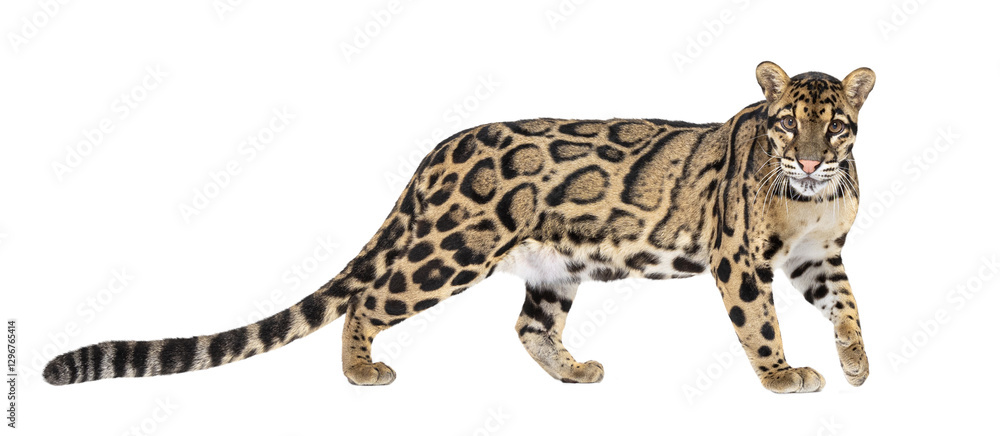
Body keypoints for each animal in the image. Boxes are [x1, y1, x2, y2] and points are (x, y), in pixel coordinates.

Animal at [44, 61, 876, 393]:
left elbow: (849, 307)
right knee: (366, 299)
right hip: (451, 250)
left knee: (529, 325)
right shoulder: (740, 257)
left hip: (552, 267)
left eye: (833, 126)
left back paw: (572, 372)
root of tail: (440, 151)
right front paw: (784, 377)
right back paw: (362, 372)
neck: (813, 196)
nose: (807, 160)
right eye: (783, 122)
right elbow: (760, 325)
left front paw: (857, 363)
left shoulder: (820, 256)